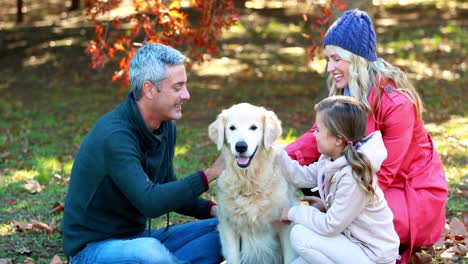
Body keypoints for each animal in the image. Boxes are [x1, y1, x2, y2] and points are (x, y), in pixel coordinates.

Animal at [209, 103, 296, 264]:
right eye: (232, 128)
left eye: (254, 127)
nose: (240, 146)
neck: (248, 181)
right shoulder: (228, 225)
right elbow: (233, 257)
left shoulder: (285, 224)